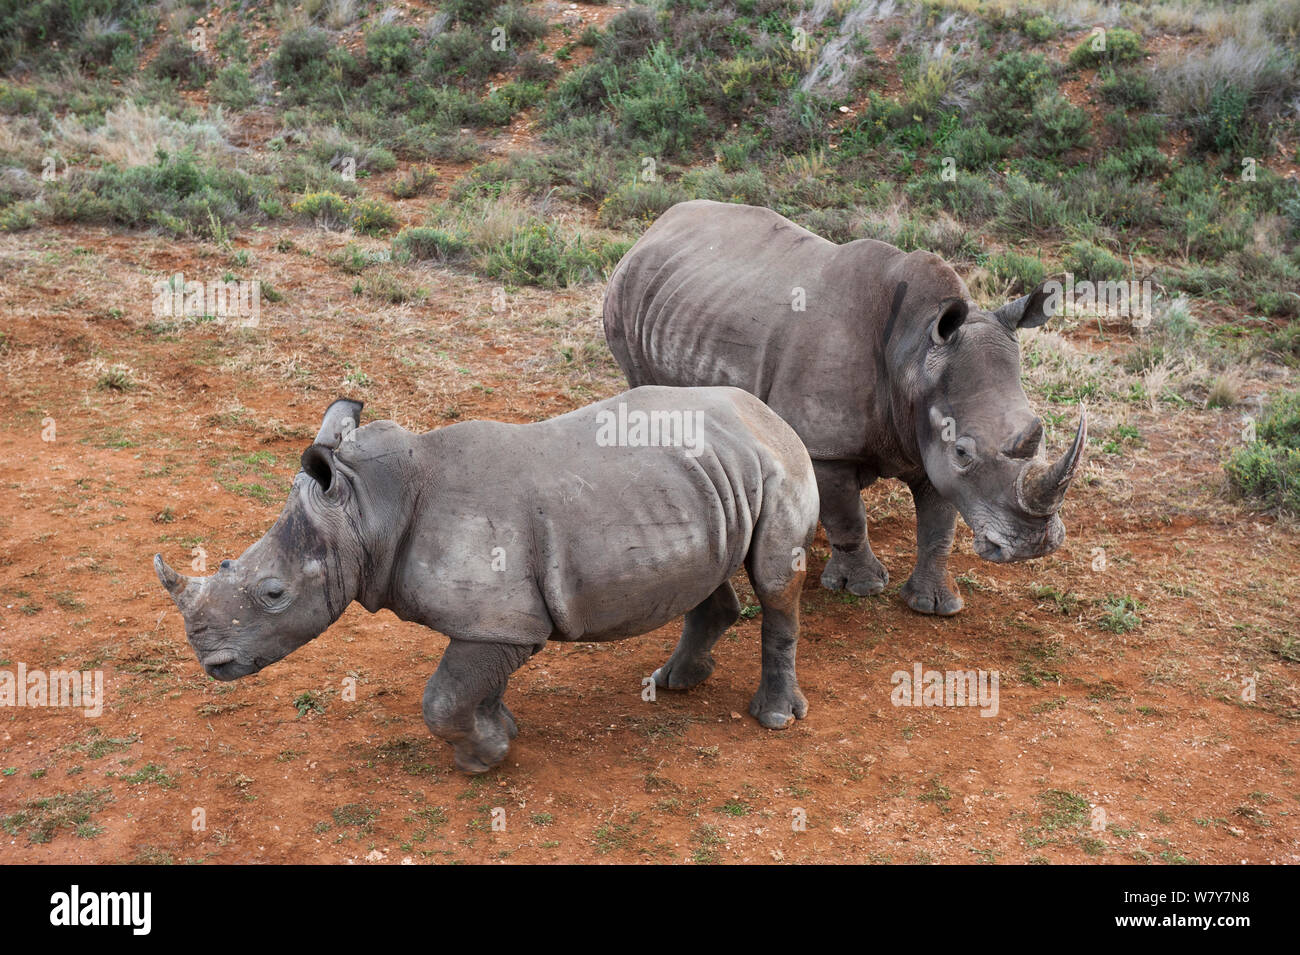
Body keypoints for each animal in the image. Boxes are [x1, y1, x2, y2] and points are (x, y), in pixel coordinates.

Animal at [157, 384, 816, 774]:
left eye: (273, 594)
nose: (213, 665)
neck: (367, 510)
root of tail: (769, 412)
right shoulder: (499, 619)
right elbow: (475, 686)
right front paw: (501, 731)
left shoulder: (500, 621)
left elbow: (443, 698)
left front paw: (484, 759)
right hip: (710, 476)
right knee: (714, 564)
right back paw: (675, 682)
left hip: (780, 463)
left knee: (774, 581)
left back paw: (774, 718)